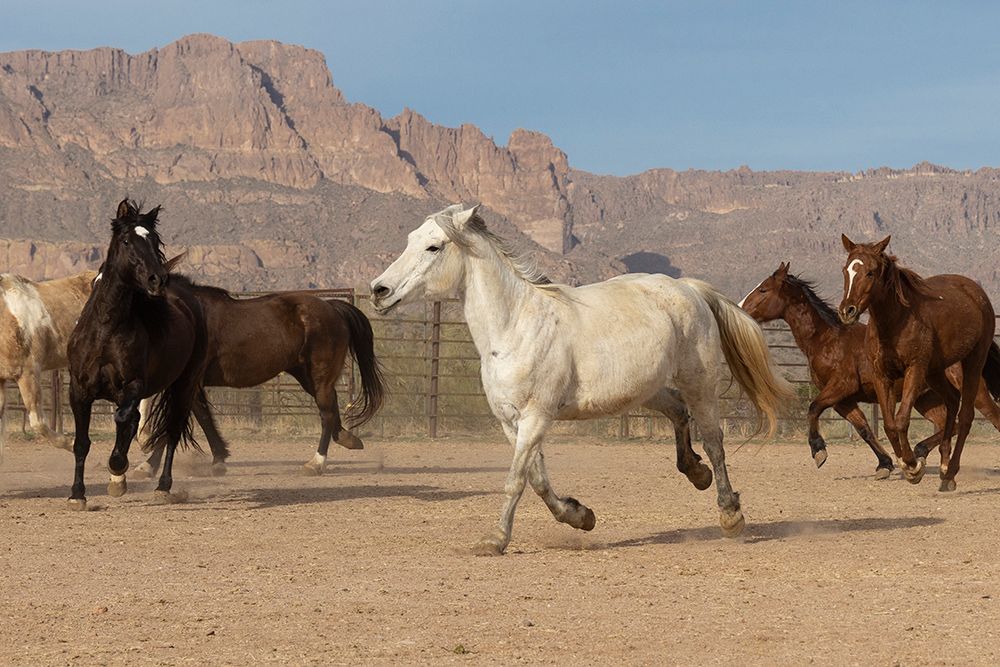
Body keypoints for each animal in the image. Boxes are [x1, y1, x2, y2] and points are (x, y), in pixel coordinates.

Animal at [66, 200, 208, 510]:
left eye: (154, 240)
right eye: (127, 241)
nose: (157, 279)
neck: (105, 330)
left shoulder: (133, 385)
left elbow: (124, 420)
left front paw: (117, 466)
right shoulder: (79, 390)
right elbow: (82, 442)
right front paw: (77, 495)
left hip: (184, 384)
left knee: (171, 431)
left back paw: (162, 487)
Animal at [132, 278, 385, 478]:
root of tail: (332, 307)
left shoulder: (188, 383)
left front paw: (147, 465)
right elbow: (203, 417)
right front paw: (219, 459)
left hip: (319, 376)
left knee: (327, 414)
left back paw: (316, 463)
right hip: (308, 377)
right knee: (331, 406)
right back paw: (347, 438)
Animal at [370, 204, 794, 555]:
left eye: (434, 247)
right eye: (410, 240)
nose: (379, 291)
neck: (516, 325)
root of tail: (689, 287)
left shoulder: (536, 417)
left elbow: (515, 480)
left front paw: (495, 540)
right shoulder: (511, 422)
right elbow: (537, 479)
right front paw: (580, 516)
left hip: (699, 383)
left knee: (715, 441)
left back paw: (729, 514)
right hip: (646, 390)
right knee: (678, 414)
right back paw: (696, 471)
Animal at [741, 262, 1000, 478]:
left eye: (763, 290)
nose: (741, 307)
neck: (828, 341)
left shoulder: (841, 387)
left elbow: (813, 408)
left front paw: (818, 451)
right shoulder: (843, 400)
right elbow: (864, 429)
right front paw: (885, 464)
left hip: (973, 392)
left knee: (990, 417)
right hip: (926, 399)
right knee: (949, 423)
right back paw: (920, 452)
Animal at [838, 235, 1000, 491]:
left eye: (871, 272)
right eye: (847, 270)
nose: (847, 311)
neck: (894, 323)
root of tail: (976, 292)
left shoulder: (914, 370)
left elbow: (902, 419)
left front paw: (914, 466)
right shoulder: (881, 375)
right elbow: (890, 424)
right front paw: (907, 465)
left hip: (973, 362)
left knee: (966, 416)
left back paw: (950, 472)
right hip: (935, 372)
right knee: (952, 402)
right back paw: (944, 469)